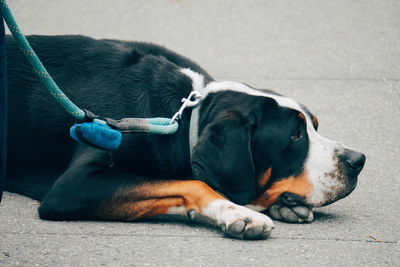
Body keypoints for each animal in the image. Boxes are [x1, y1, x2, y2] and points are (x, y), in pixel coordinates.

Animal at [4, 35, 366, 241]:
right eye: (294, 135)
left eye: (314, 126)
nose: (358, 161)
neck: (180, 118)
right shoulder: (76, 183)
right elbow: (190, 183)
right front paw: (238, 213)